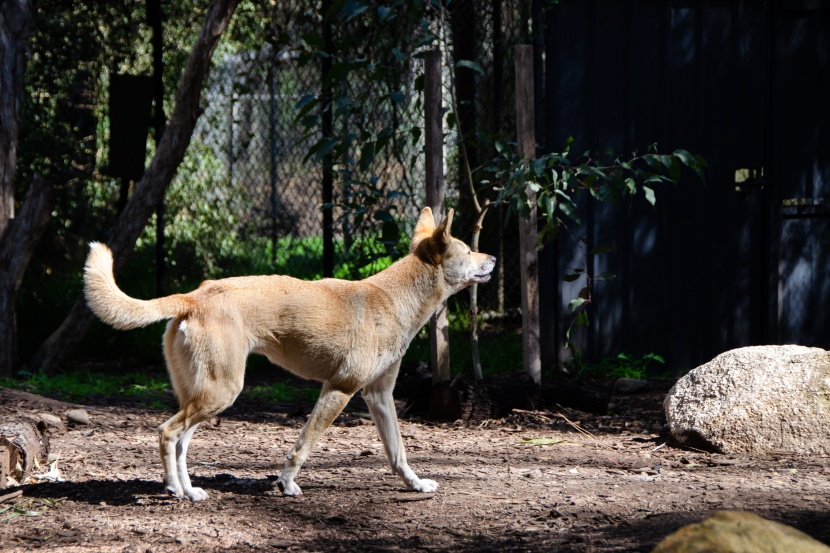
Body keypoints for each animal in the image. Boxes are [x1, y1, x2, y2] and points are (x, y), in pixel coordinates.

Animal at [86, 207, 494, 500]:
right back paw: (174, 489)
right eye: (468, 250)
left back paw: (189, 490)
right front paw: (286, 484)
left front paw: (416, 485)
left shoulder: (379, 395)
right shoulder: (339, 389)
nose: (491, 257)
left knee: (182, 442)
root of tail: (196, 295)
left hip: (205, 396)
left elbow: (398, 452)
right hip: (220, 392)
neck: (394, 300)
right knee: (168, 433)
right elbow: (303, 446)